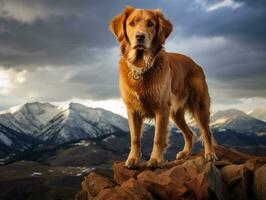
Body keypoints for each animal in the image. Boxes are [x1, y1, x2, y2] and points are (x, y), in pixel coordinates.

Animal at [109, 6, 215, 168]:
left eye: (150, 24)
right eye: (132, 23)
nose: (140, 36)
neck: (141, 67)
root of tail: (196, 64)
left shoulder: (162, 109)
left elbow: (158, 137)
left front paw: (155, 160)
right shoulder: (132, 110)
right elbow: (135, 138)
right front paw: (133, 159)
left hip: (199, 106)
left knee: (206, 131)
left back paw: (209, 154)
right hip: (175, 113)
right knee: (189, 133)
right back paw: (185, 152)